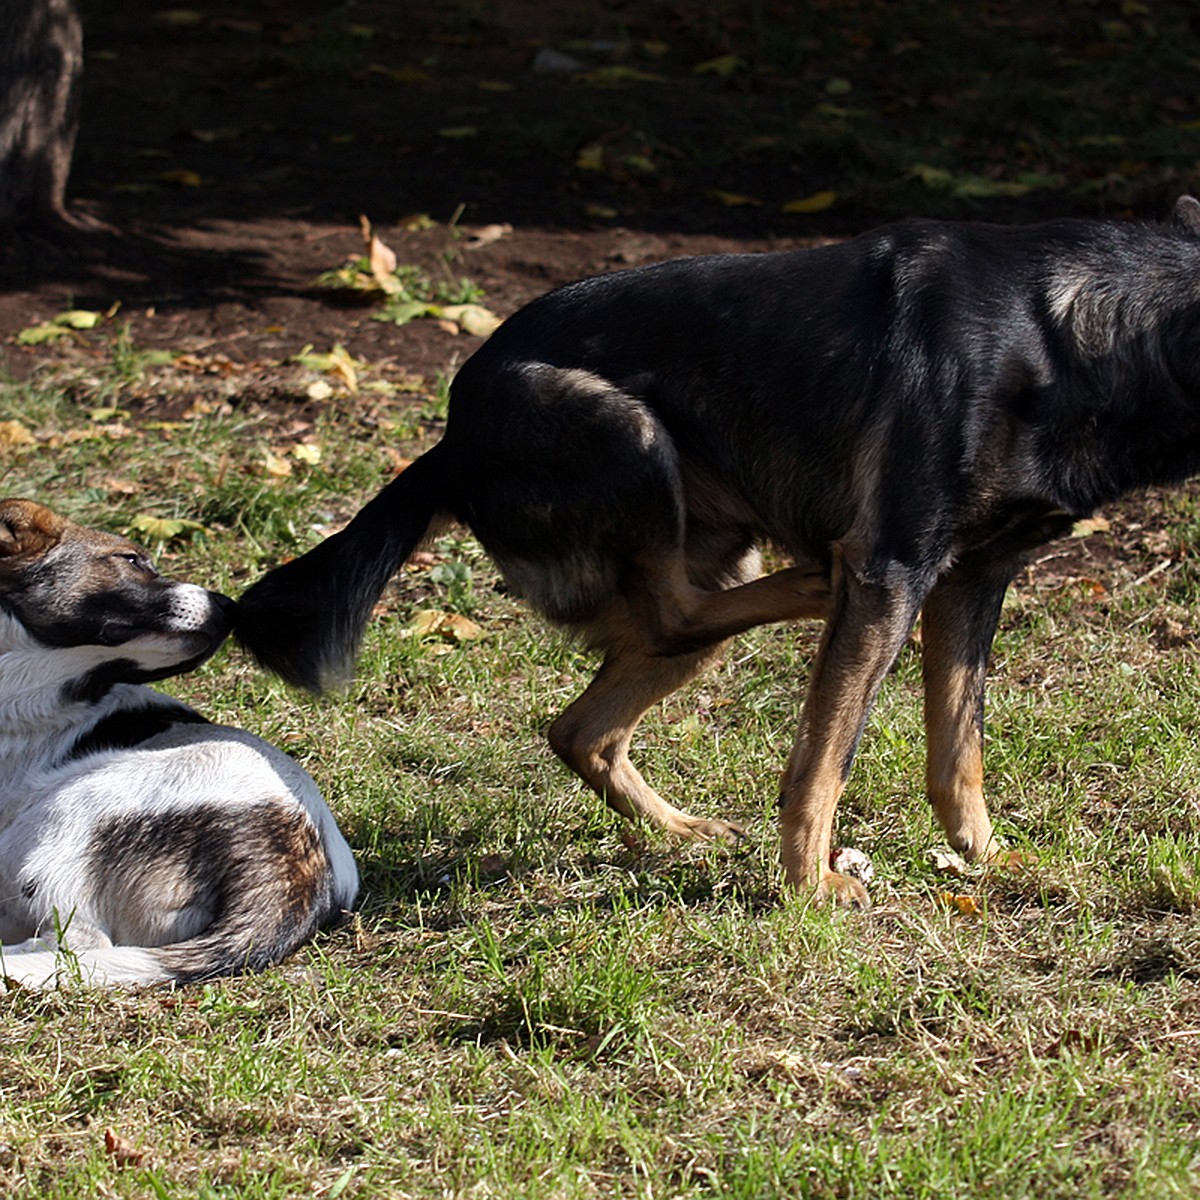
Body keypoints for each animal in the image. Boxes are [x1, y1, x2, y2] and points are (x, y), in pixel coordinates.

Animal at [236, 199, 1200, 907]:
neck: (1077, 332)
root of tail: (448, 441)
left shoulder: (971, 580)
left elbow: (957, 749)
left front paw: (987, 861)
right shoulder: (895, 571)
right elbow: (823, 762)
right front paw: (810, 890)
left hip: (713, 565)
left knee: (589, 719)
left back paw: (682, 829)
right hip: (627, 433)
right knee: (674, 615)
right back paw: (809, 583)